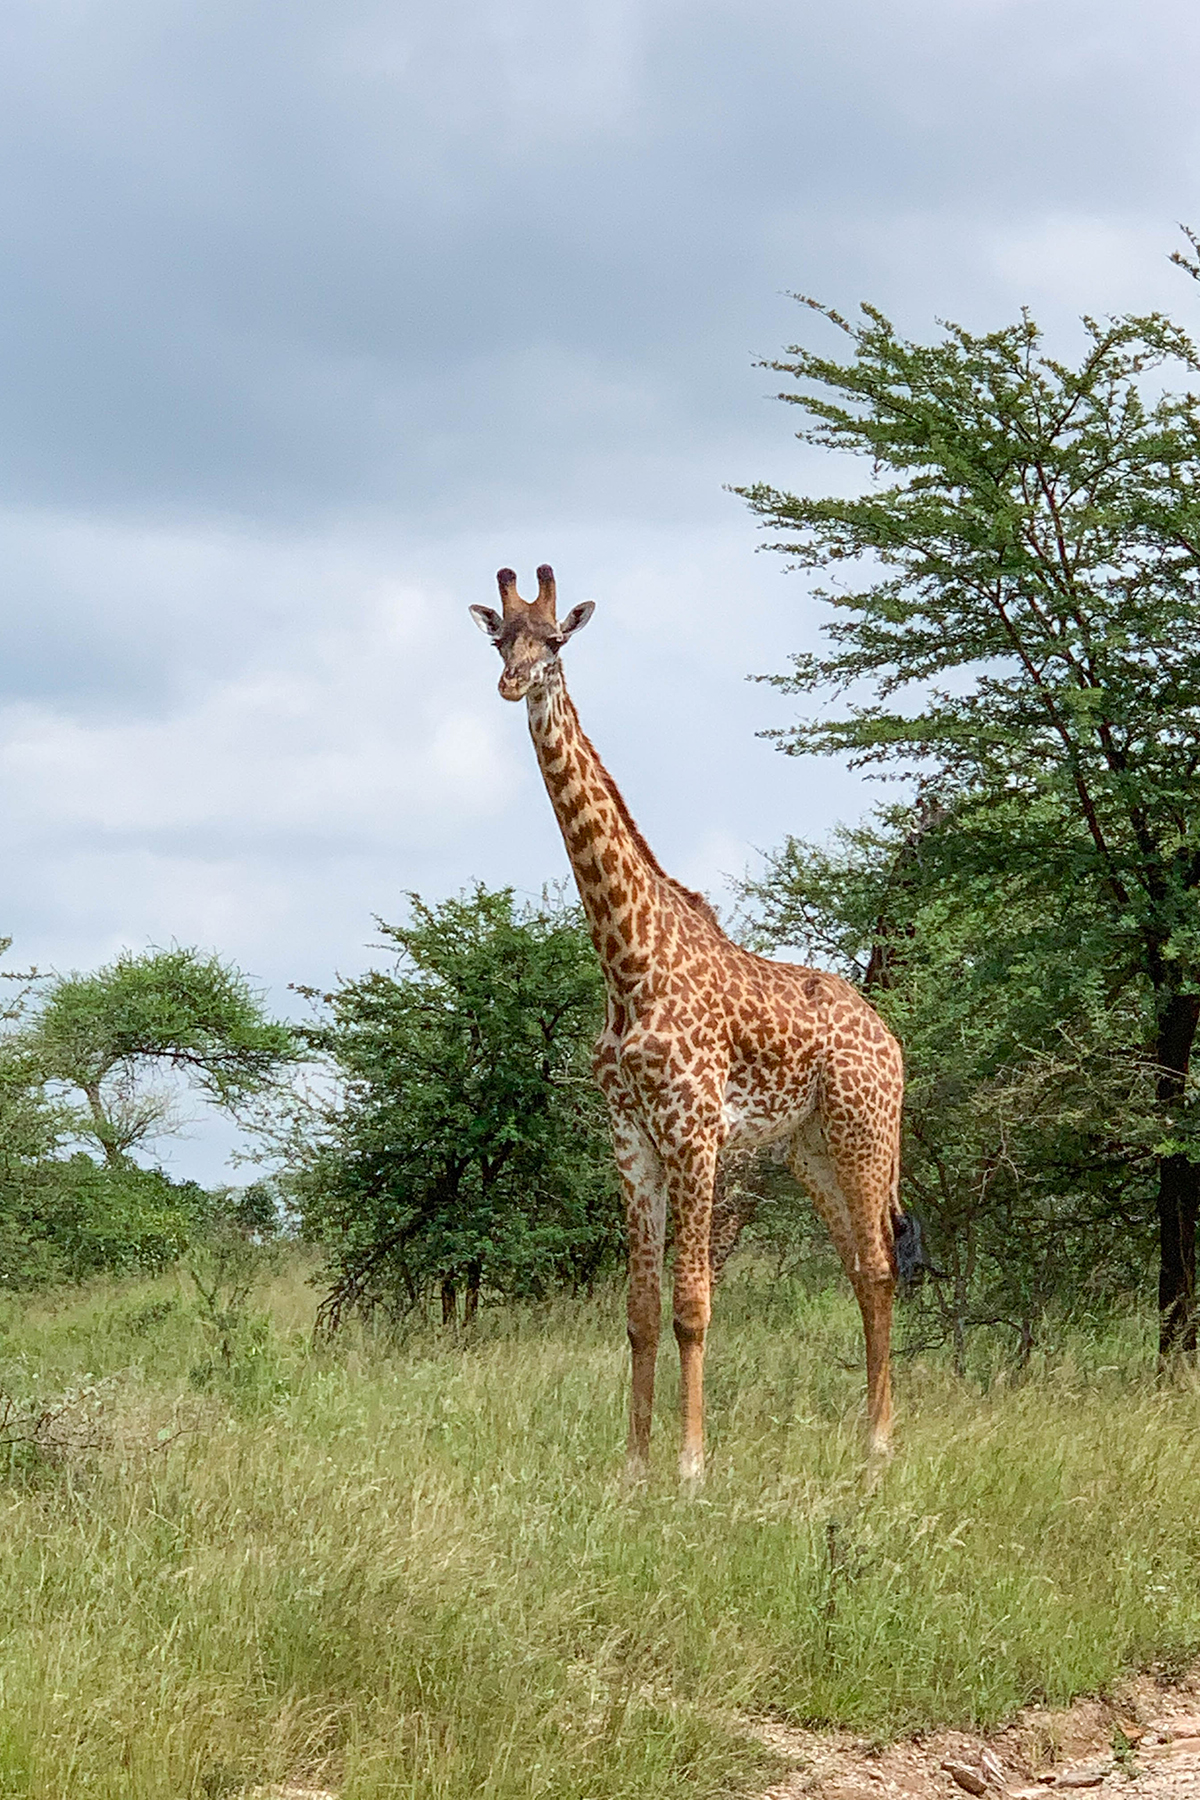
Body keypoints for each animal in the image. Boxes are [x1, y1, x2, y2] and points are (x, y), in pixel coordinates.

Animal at [474, 568, 906, 1483]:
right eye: (499, 639)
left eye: (554, 642)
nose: (512, 684)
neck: (625, 962)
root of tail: (891, 1040)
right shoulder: (630, 1136)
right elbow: (639, 1310)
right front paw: (633, 1467)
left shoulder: (695, 1129)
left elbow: (693, 1304)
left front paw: (691, 1464)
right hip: (809, 1147)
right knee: (859, 1270)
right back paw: (864, 1432)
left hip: (864, 1130)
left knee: (884, 1267)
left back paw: (883, 1443)